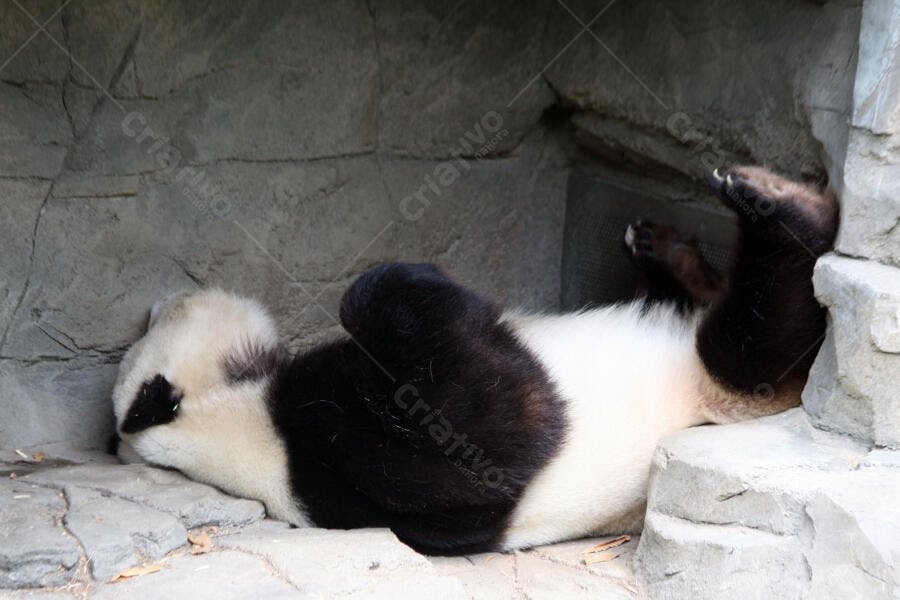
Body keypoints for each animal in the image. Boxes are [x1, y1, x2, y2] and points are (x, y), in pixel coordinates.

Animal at [110, 166, 838, 554]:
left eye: (160, 316)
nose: (166, 294)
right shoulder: (343, 455)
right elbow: (498, 434)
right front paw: (418, 288)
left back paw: (659, 245)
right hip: (724, 384)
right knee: (759, 333)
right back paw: (774, 203)